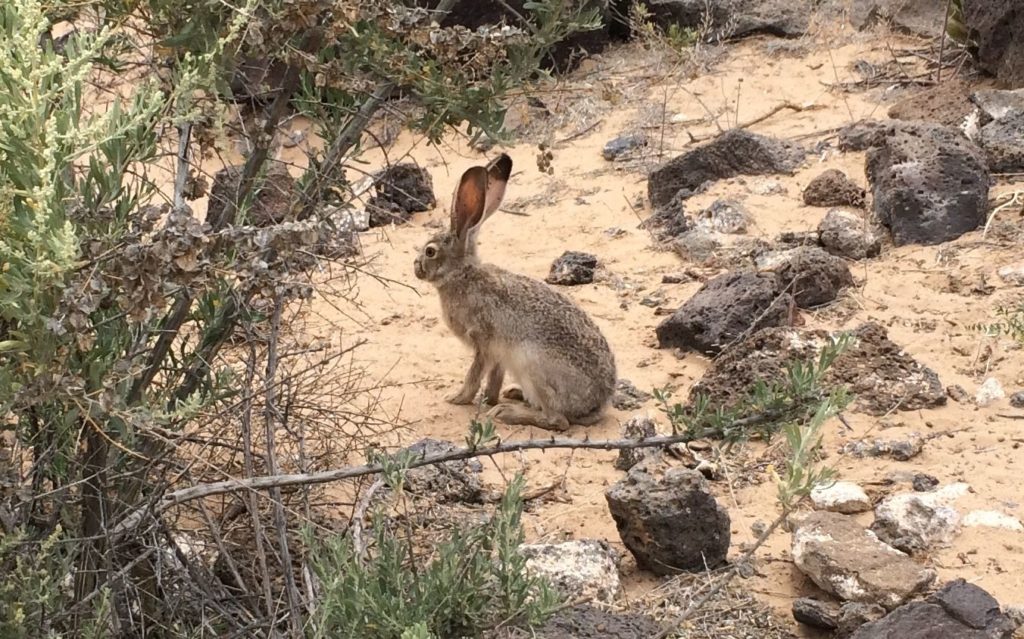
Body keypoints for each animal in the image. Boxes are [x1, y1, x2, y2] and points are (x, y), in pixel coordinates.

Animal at [413, 153, 617, 432]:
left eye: (430, 251)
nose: (416, 268)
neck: (462, 275)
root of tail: (596, 405)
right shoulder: (498, 354)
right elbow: (493, 377)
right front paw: (489, 398)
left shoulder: (483, 340)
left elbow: (474, 373)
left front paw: (458, 398)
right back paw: (514, 394)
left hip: (533, 364)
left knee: (559, 420)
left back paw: (507, 413)